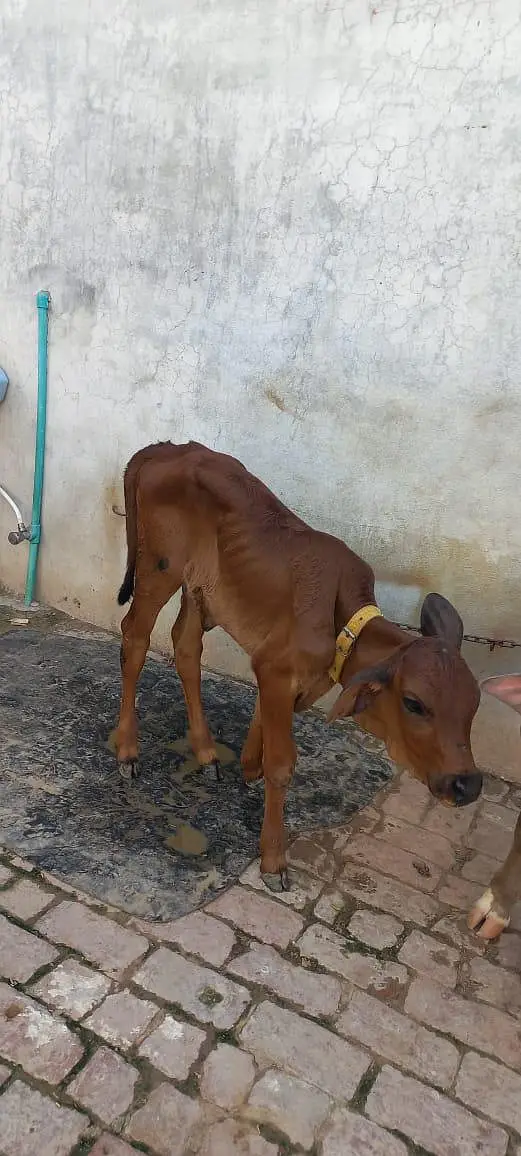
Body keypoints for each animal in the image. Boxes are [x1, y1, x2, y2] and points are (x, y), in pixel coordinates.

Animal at [114, 440, 482, 892]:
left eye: (473, 705)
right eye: (415, 703)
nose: (468, 784)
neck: (340, 621)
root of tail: (167, 448)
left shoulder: (278, 671)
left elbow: (261, 745)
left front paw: (247, 764)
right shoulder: (276, 671)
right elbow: (281, 765)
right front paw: (273, 859)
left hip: (199, 591)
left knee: (185, 647)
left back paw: (205, 751)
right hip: (159, 569)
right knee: (134, 639)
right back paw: (128, 749)